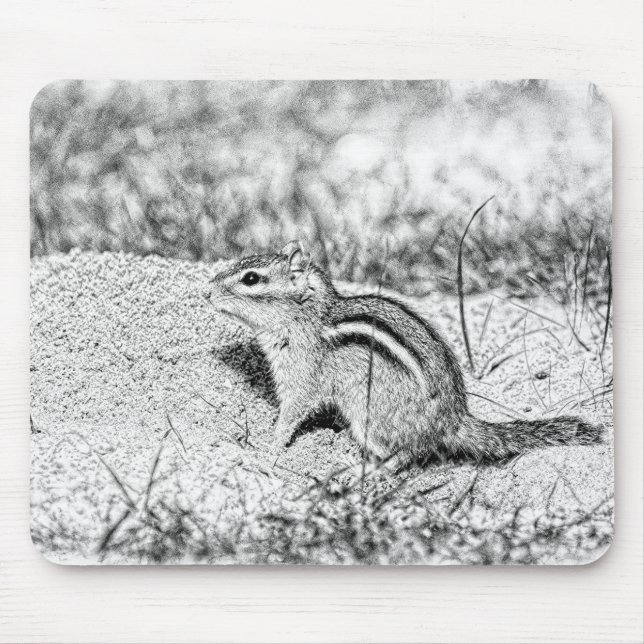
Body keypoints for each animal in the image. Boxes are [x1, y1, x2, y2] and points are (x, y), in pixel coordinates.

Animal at [208, 240, 602, 468]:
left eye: (251, 279)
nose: (207, 292)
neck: (308, 316)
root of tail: (453, 420)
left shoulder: (301, 377)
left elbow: (291, 415)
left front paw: (267, 447)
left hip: (369, 415)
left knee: (406, 455)